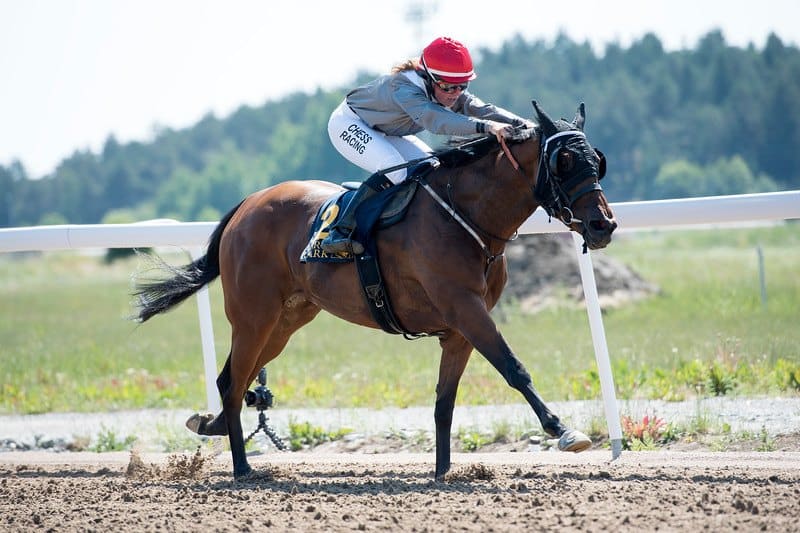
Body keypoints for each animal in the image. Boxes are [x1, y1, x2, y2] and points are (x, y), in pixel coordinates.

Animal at [133, 100, 620, 478]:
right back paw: (242, 468)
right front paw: (564, 431)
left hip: (286, 320)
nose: (603, 225)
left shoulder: (459, 328)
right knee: (234, 383)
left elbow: (445, 401)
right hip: (254, 316)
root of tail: (247, 205)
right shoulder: (465, 309)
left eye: (597, 160)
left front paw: (443, 470)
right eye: (563, 163)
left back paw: (214, 427)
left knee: (232, 378)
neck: (464, 215)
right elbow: (514, 368)